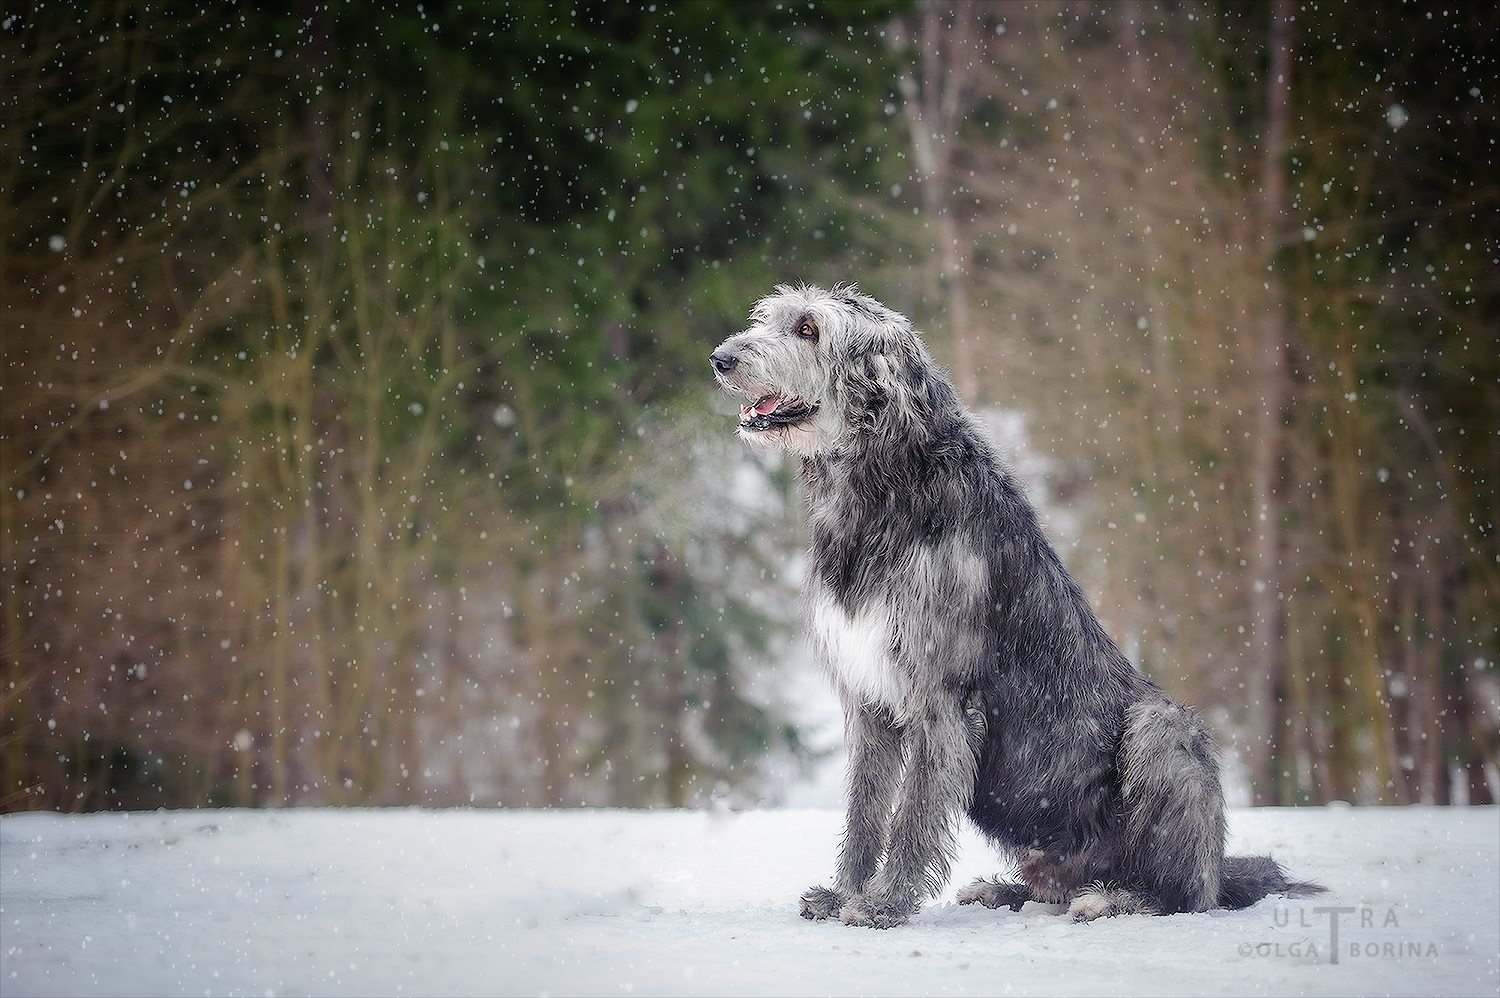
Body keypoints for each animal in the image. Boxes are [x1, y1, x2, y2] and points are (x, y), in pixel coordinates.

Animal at [708, 280, 1320, 924]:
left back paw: (1118, 898)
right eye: (767, 318)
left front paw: (884, 904)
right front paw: (845, 892)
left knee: (1183, 897)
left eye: (808, 328)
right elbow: (866, 810)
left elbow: (912, 814)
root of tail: (1218, 871)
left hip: (1165, 734)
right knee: (1053, 886)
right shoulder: (868, 699)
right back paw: (1004, 891)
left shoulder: (942, 700)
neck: (880, 485)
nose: (720, 359)